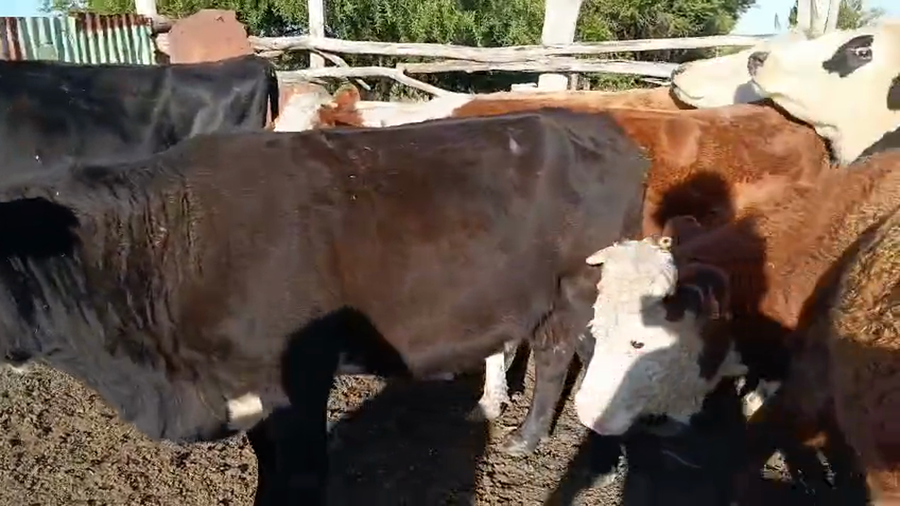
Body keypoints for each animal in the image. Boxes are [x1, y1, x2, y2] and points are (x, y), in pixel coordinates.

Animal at [0, 108, 650, 504]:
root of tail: (605, 128)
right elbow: (270, 464)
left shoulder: (298, 378)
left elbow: (305, 470)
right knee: (565, 353)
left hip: (584, 285)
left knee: (579, 355)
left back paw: (571, 443)